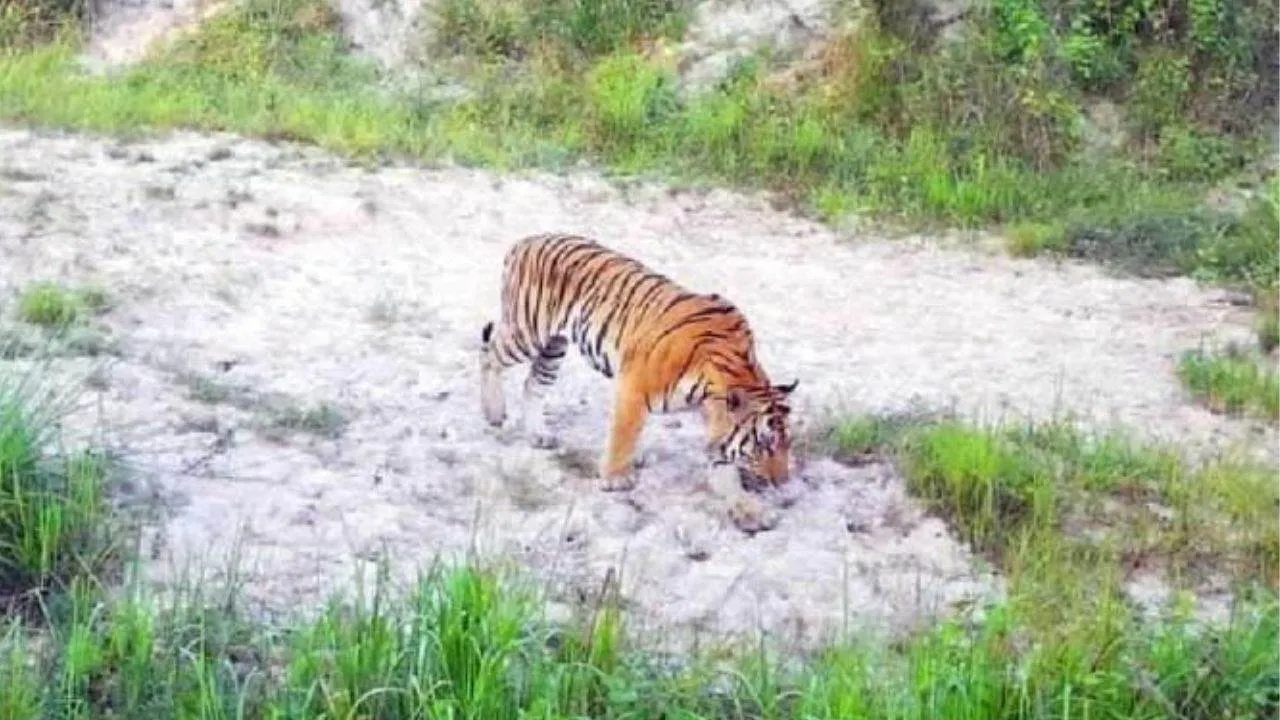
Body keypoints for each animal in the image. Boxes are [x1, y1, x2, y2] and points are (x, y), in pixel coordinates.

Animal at [478, 232, 801, 530]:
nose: (782, 481)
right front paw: (615, 478)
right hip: (528, 332)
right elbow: (623, 435)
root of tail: (525, 241)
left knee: (533, 384)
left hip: (554, 346)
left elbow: (725, 471)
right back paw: (494, 412)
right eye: (764, 445)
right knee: (489, 354)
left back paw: (538, 434)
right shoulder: (633, 388)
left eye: (788, 444)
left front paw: (750, 510)